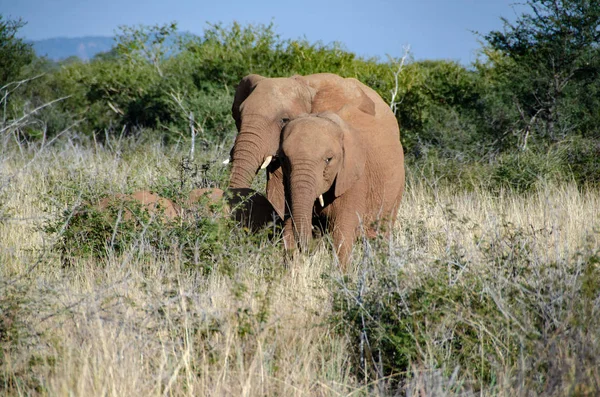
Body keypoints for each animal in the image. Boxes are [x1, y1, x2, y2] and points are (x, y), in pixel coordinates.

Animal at [278, 104, 406, 270]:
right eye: (283, 159)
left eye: (328, 159)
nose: (315, 231)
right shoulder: (287, 182)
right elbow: (288, 227)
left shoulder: (356, 179)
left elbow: (342, 231)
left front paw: (341, 274)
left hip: (398, 187)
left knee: (384, 231)